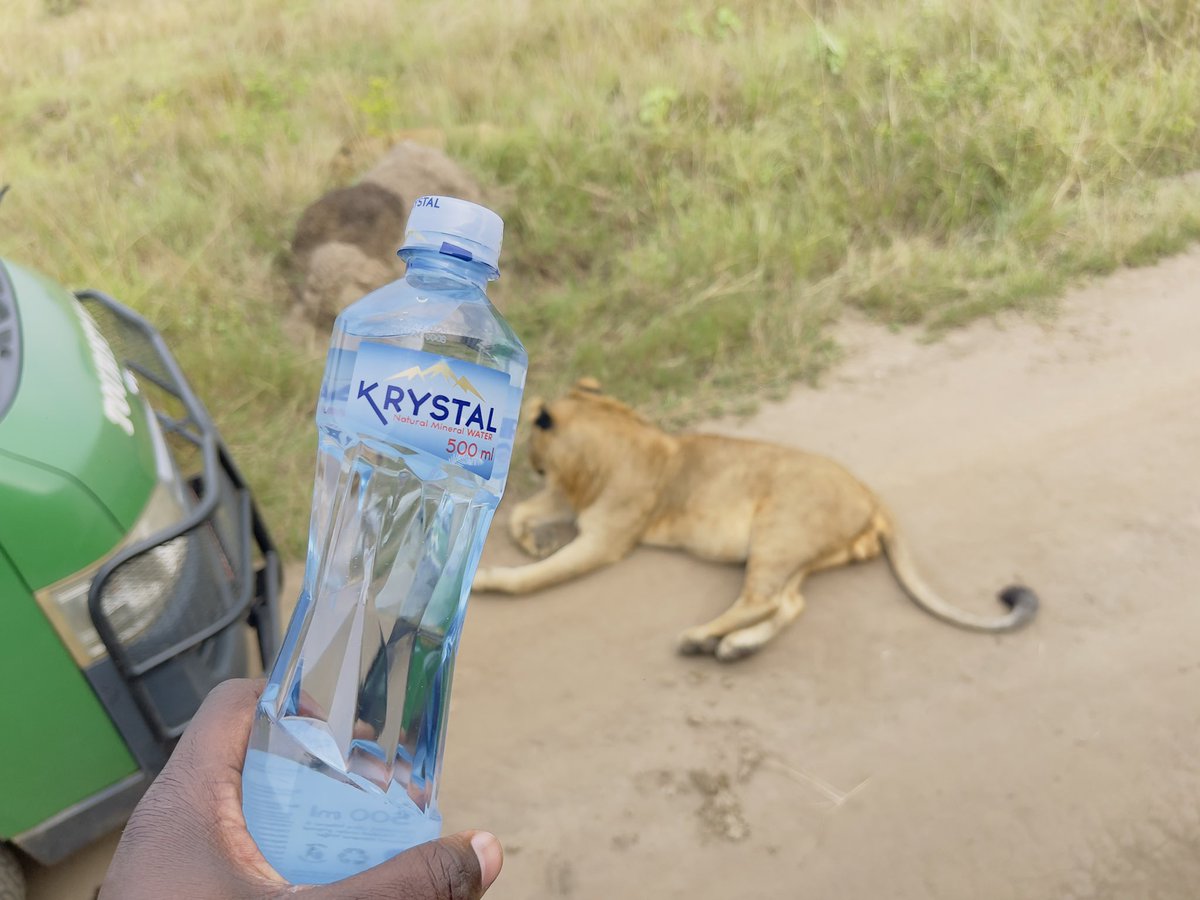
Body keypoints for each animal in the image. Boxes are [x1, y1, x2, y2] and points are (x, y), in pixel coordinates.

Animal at [472, 378, 1039, 661]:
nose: (528, 462)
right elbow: (520, 512)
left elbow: (529, 579)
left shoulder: (604, 539)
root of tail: (872, 496)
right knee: (790, 604)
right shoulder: (571, 501)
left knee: (762, 599)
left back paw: (701, 639)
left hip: (780, 531)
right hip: (801, 553)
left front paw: (485, 577)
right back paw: (734, 647)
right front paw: (529, 540)